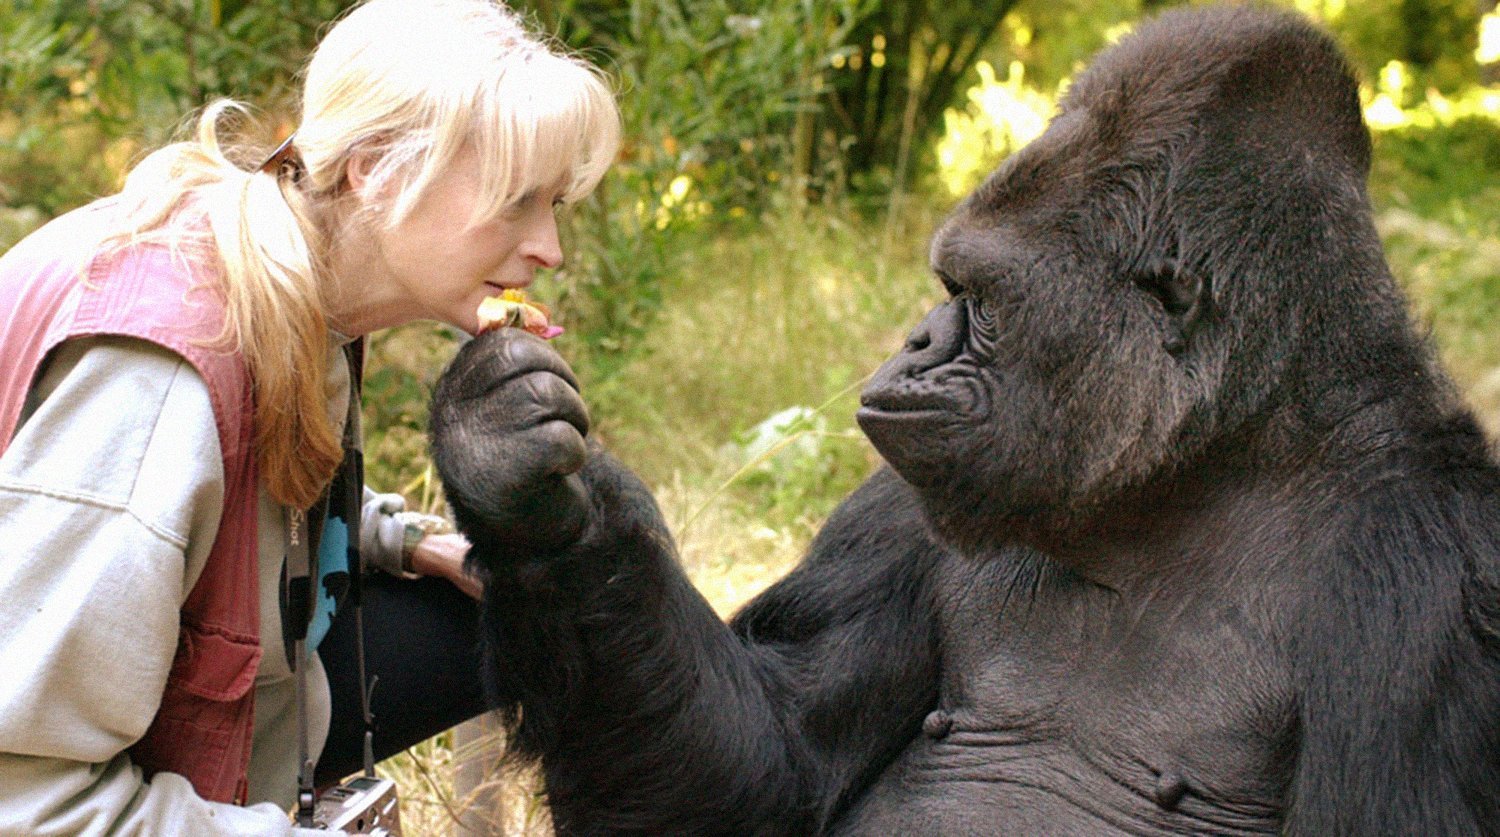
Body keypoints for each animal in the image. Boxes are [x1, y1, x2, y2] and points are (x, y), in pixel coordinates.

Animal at [429, 4, 1500, 834]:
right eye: (948, 287)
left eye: (976, 299)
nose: (913, 342)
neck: (1207, 466)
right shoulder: (910, 497)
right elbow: (767, 771)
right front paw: (526, 491)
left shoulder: (1437, 585)